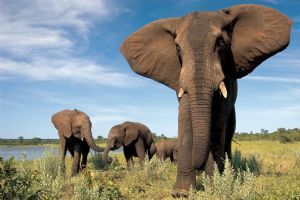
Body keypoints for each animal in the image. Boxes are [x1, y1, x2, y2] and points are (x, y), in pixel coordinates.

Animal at [120, 4, 292, 195]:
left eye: (221, 44)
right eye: (177, 48)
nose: (198, 166)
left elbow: (217, 122)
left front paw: (214, 186)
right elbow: (185, 118)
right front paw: (182, 193)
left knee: (227, 133)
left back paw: (228, 173)